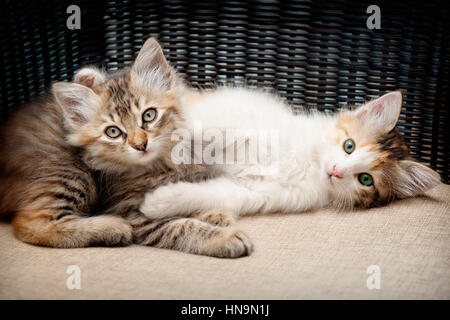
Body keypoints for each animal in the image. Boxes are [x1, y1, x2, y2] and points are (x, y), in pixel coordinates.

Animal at [0, 38, 253, 258]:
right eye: (113, 132)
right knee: (31, 223)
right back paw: (111, 228)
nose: (140, 144)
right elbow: (181, 226)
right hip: (68, 172)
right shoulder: (132, 211)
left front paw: (216, 214)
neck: (161, 165)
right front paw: (224, 238)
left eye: (149, 115)